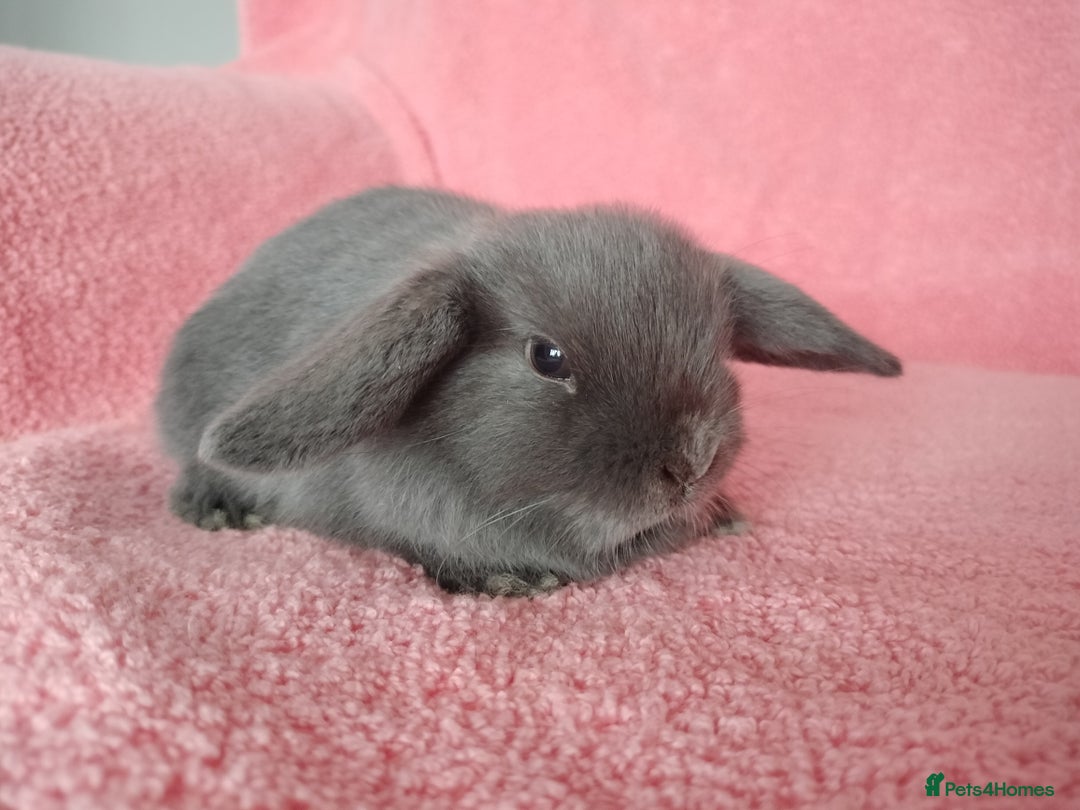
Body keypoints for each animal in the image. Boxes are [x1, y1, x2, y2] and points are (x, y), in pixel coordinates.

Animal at [156, 186, 901, 597]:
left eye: (716, 348)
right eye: (547, 358)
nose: (690, 464)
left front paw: (724, 515)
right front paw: (506, 582)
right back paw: (218, 512)